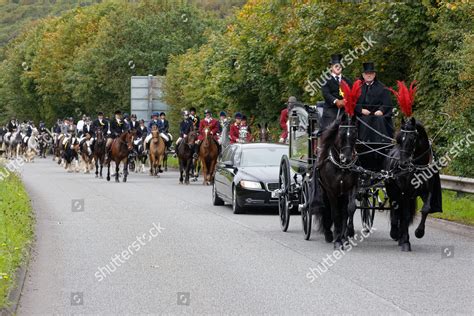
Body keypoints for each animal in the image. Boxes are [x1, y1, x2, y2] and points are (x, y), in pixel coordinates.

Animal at [312, 114, 358, 249]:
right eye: (341, 134)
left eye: (354, 135)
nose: (347, 159)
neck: (341, 167)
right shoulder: (331, 191)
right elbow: (335, 213)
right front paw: (337, 240)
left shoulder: (351, 187)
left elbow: (350, 209)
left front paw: (348, 233)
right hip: (324, 191)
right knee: (325, 209)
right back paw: (329, 234)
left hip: (342, 194)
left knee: (344, 211)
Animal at [384, 116, 442, 252]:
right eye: (399, 139)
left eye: (412, 139)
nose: (402, 164)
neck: (419, 166)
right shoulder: (405, 192)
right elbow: (405, 215)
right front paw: (406, 242)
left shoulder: (428, 191)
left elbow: (426, 209)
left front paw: (419, 232)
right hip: (393, 191)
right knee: (396, 209)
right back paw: (395, 233)